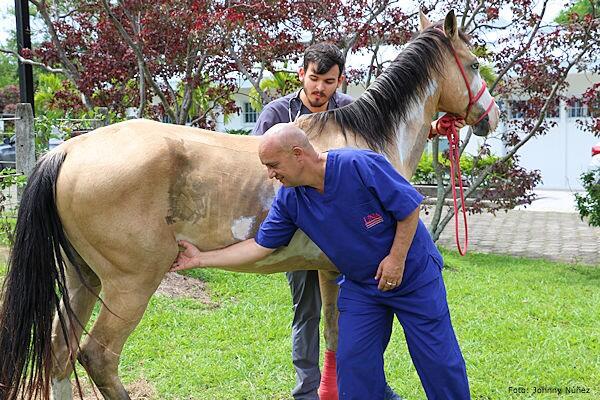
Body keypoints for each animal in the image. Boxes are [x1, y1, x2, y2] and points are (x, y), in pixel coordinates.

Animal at [0, 10, 496, 400]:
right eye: (473, 63)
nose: (487, 116)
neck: (364, 138)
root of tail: (67, 151)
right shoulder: (343, 270)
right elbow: (341, 339)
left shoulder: (324, 270)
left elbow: (327, 337)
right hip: (130, 285)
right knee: (97, 356)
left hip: (82, 278)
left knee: (58, 354)